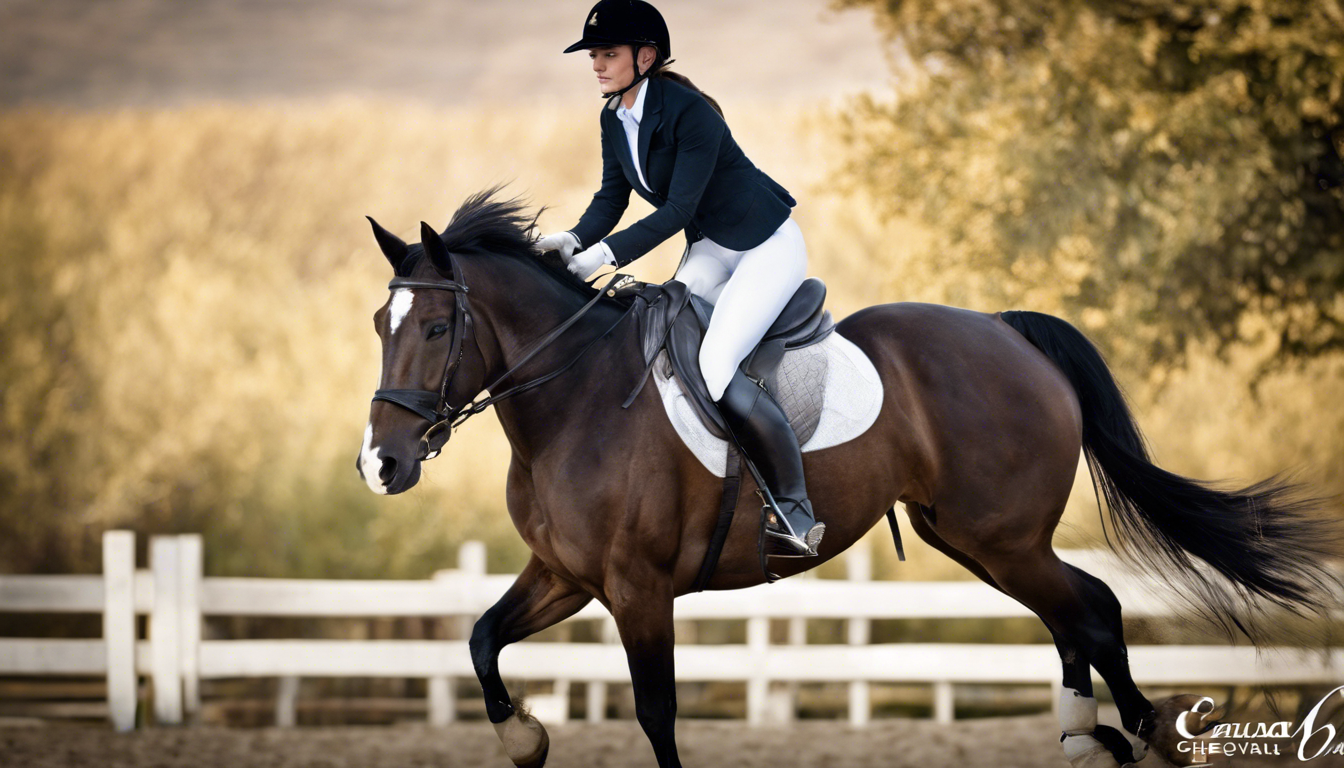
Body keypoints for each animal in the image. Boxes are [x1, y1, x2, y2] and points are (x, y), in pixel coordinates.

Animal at [356, 189, 1337, 768]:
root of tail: (1008, 331)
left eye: (437, 330)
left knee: (1090, 610)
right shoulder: (566, 576)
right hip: (976, 538)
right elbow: (482, 638)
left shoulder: (638, 589)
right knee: (1075, 611)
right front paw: (523, 736)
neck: (575, 400)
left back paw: (1142, 733)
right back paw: (1086, 738)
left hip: (999, 537)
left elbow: (656, 713)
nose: (381, 465)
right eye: (380, 322)